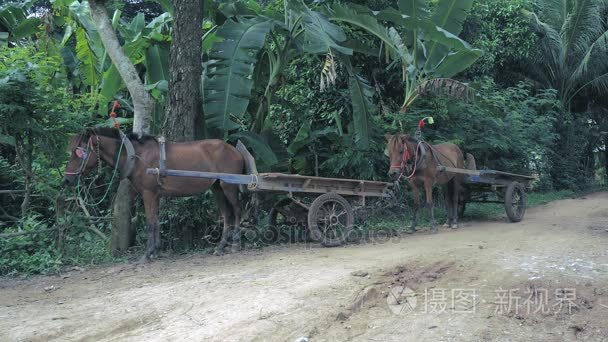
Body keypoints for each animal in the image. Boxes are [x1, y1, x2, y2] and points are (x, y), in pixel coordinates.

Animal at [64, 127, 245, 260]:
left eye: (79, 152)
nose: (67, 179)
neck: (137, 156)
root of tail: (235, 150)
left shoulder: (148, 193)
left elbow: (150, 223)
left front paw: (147, 253)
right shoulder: (155, 195)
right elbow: (156, 221)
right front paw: (156, 250)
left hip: (229, 185)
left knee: (237, 211)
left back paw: (236, 243)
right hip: (217, 188)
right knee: (226, 214)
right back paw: (221, 246)